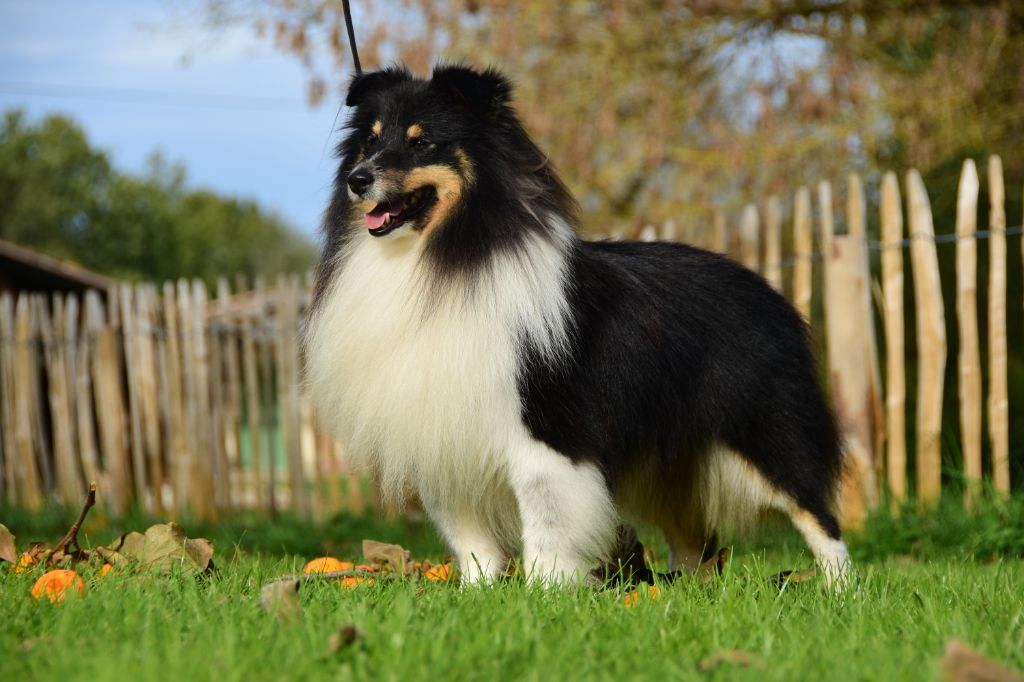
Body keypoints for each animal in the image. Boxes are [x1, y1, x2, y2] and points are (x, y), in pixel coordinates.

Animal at [303, 62, 847, 585]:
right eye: (371, 140)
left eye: (421, 142)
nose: (358, 179)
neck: (438, 258)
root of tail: (766, 290)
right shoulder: (446, 437)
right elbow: (472, 541)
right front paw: (478, 594)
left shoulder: (546, 436)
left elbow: (546, 525)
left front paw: (544, 593)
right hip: (669, 467)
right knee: (695, 542)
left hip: (766, 434)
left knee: (819, 520)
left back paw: (841, 591)